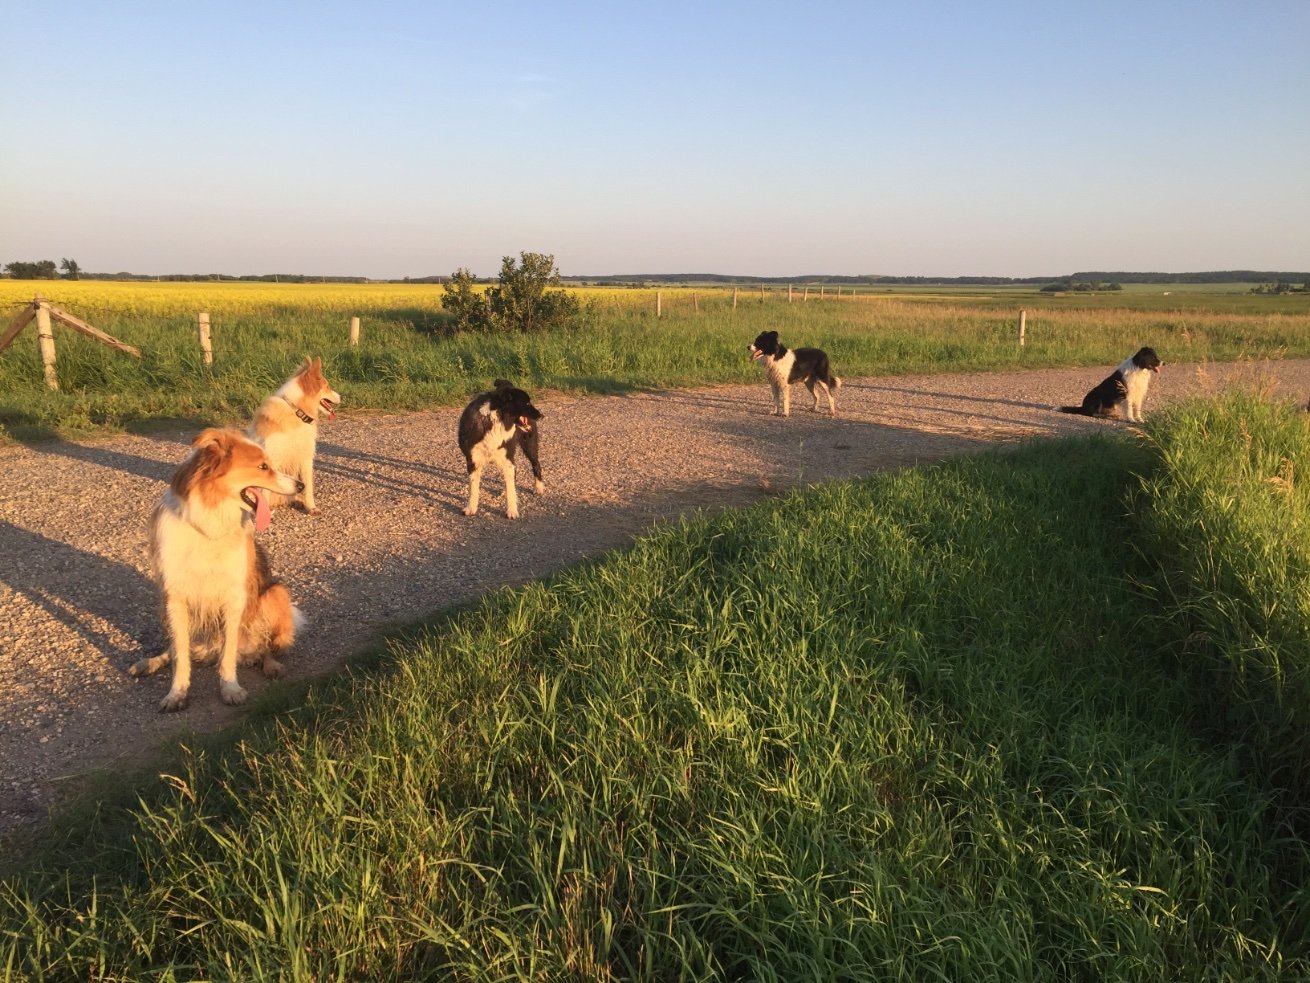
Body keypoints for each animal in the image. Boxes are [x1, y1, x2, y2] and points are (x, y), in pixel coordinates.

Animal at [132, 427, 306, 713]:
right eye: (262, 466)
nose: (300, 485)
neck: (209, 522)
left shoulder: (234, 596)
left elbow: (228, 652)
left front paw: (230, 688)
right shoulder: (175, 597)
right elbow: (180, 654)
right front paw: (177, 693)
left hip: (275, 593)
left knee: (265, 648)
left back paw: (270, 665)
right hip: (164, 608)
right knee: (176, 648)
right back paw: (150, 662)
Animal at [248, 359, 343, 516]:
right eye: (327, 387)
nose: (341, 397)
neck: (296, 411)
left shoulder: (305, 459)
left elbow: (308, 487)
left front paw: (311, 508)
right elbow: (265, 491)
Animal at [458, 380, 544, 524]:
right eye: (527, 403)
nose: (542, 415)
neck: (493, 421)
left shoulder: (508, 458)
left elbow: (511, 490)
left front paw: (512, 511)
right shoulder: (473, 460)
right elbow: (473, 488)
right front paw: (471, 508)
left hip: (529, 444)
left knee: (536, 464)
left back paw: (539, 487)